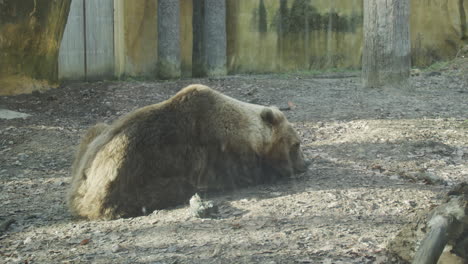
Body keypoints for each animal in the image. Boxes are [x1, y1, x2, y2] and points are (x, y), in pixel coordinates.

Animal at [66, 84, 308, 219]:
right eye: (296, 144)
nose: (305, 165)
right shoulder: (217, 152)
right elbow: (246, 174)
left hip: (94, 141)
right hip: (130, 178)